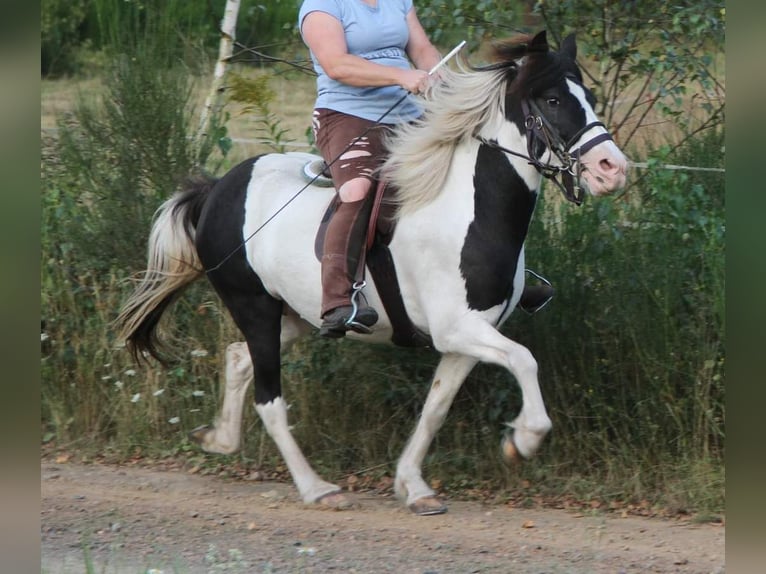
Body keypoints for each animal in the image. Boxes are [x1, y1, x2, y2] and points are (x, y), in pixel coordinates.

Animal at [115, 31, 632, 516]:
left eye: (587, 95)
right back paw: (317, 488)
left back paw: (219, 438)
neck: (465, 211)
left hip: (295, 316)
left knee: (238, 358)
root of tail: (218, 187)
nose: (613, 168)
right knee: (269, 398)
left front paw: (414, 487)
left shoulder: (468, 337)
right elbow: (525, 361)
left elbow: (435, 408)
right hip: (254, 308)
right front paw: (522, 440)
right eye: (553, 100)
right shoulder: (457, 329)